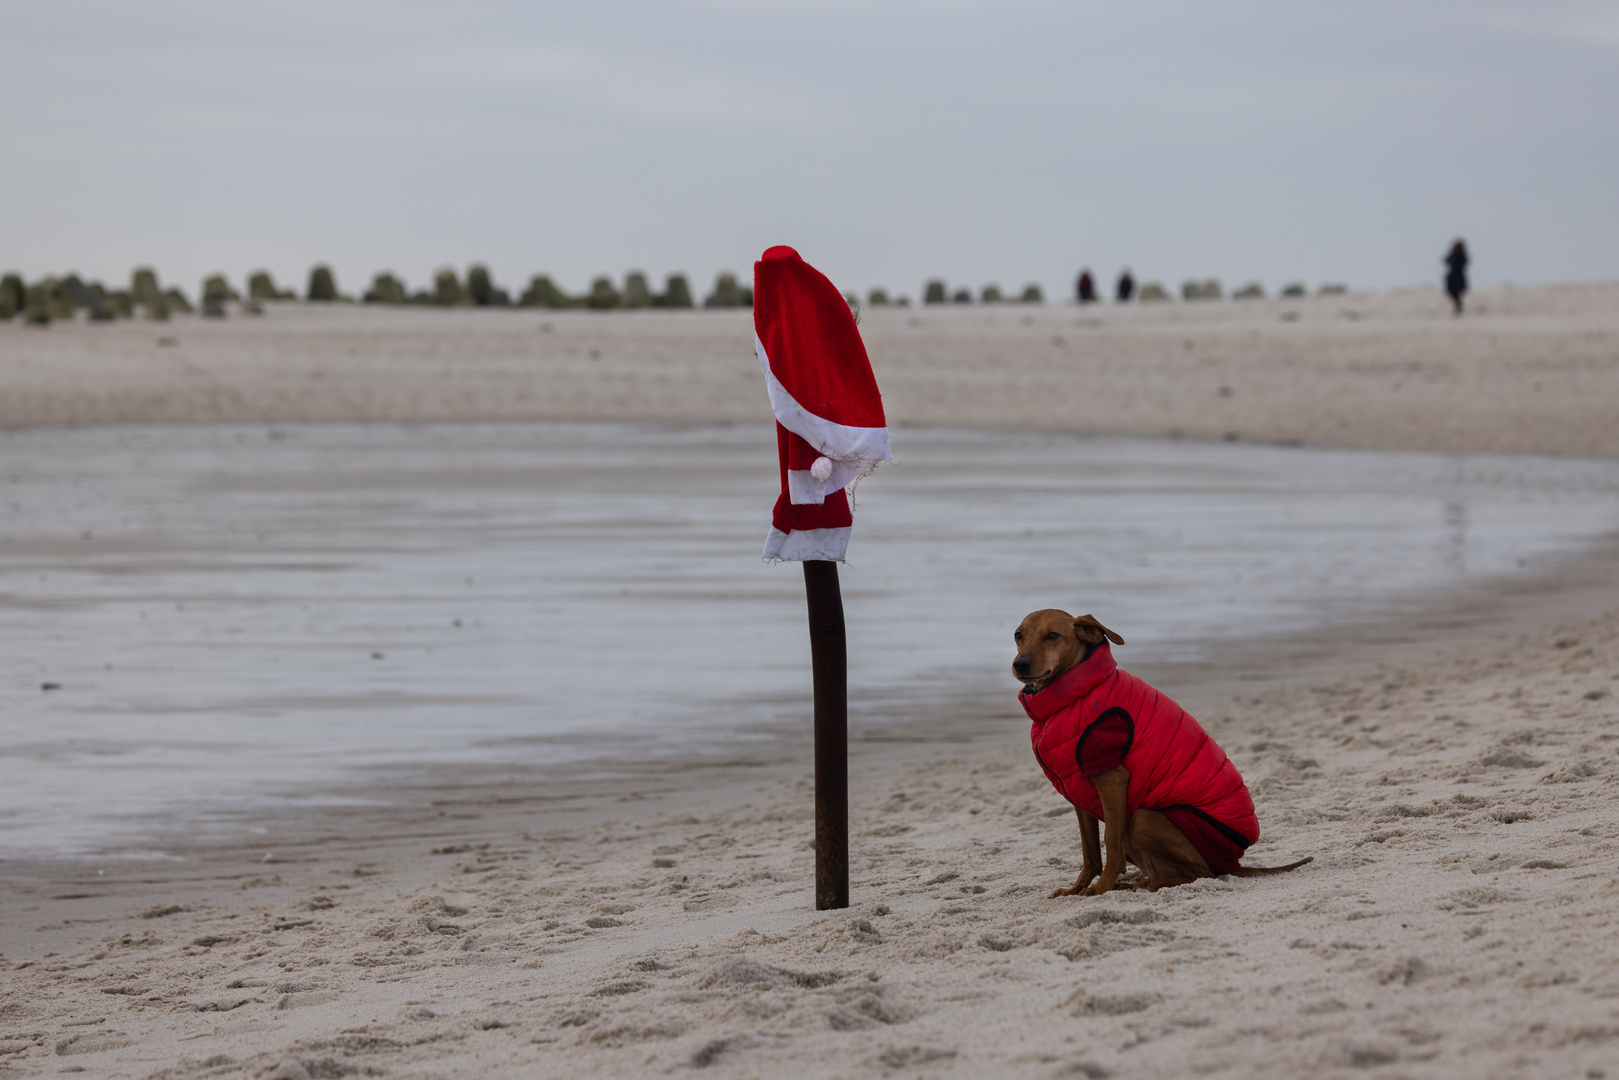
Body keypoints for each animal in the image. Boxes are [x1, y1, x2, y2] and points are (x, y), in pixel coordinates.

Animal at [1016, 612, 1308, 900]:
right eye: (1018, 635)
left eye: (1053, 635)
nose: (1020, 664)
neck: (1077, 691)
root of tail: (1233, 863)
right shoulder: (1079, 792)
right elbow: (1090, 854)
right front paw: (1075, 889)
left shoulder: (1111, 777)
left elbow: (1110, 846)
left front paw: (1100, 889)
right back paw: (1135, 884)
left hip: (1144, 818)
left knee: (1203, 874)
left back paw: (1147, 884)